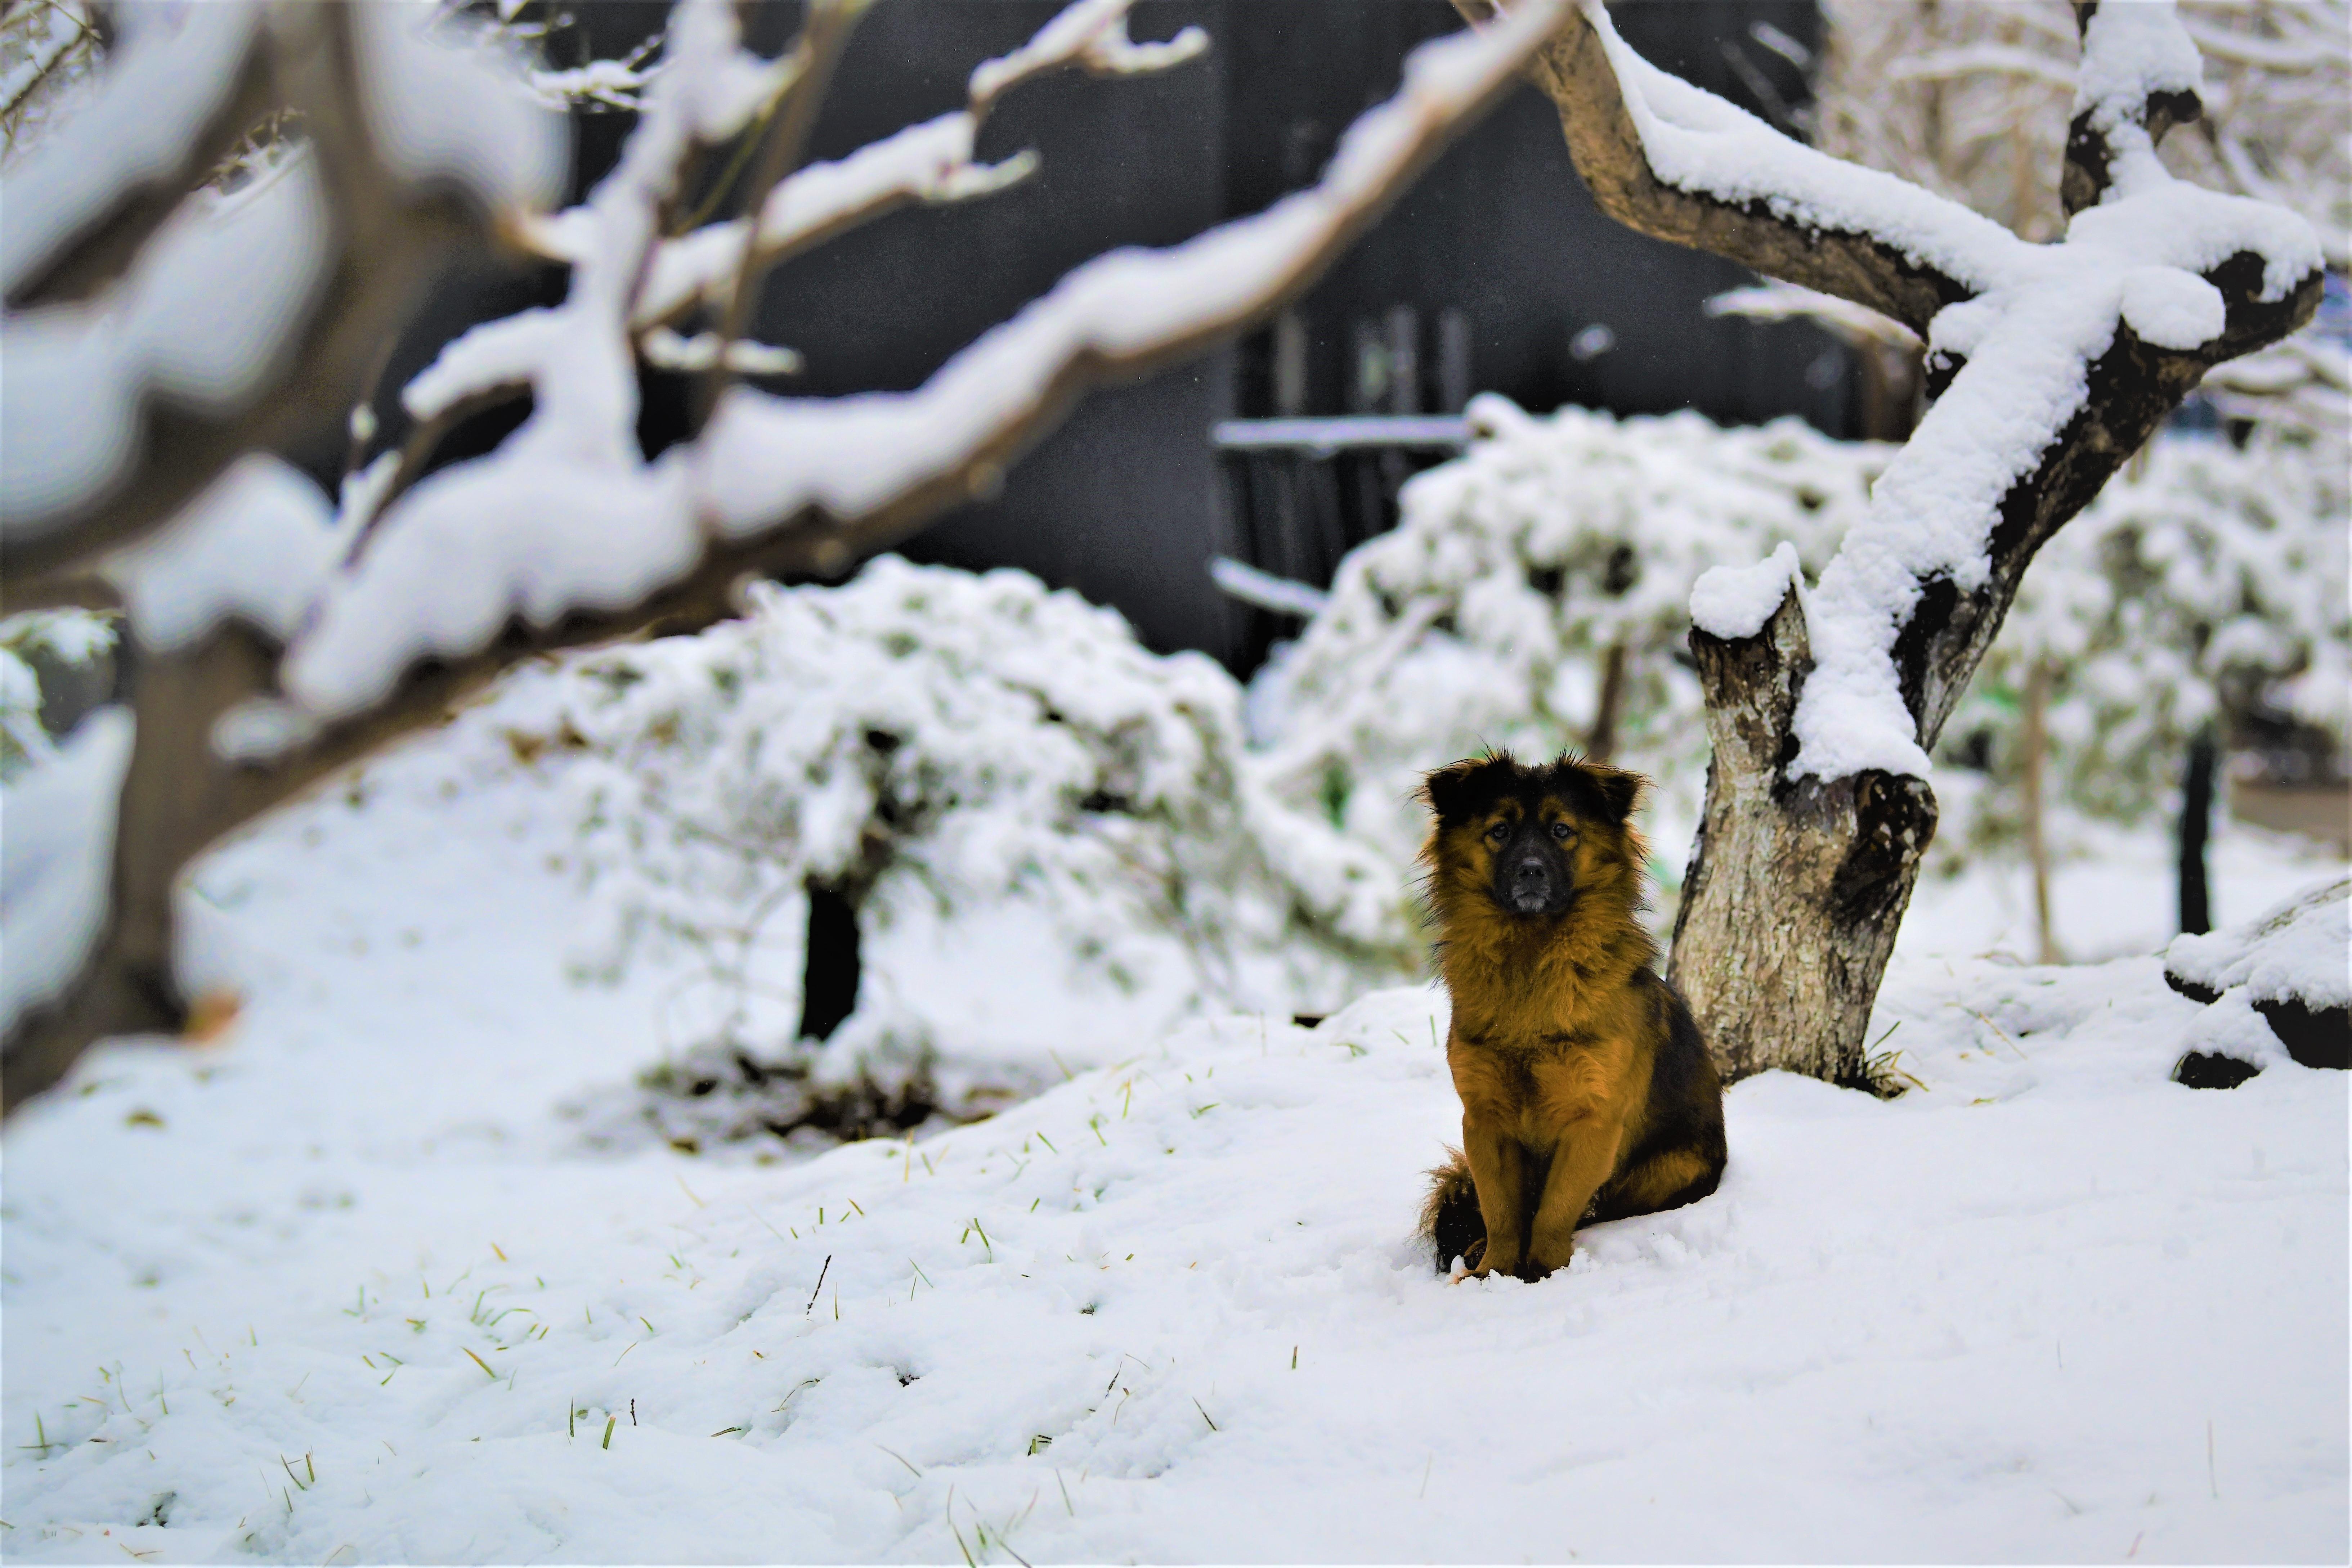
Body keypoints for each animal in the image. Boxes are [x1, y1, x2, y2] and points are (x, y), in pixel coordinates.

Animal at [1411, 752, 1731, 1279]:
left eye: (1562, 830)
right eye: (1500, 830)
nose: (1531, 870)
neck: (1531, 957)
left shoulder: (1591, 1119)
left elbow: (1554, 1209)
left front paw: (1541, 1272)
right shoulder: (1485, 1120)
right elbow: (1502, 1212)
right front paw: (1493, 1272)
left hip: (1671, 1166)